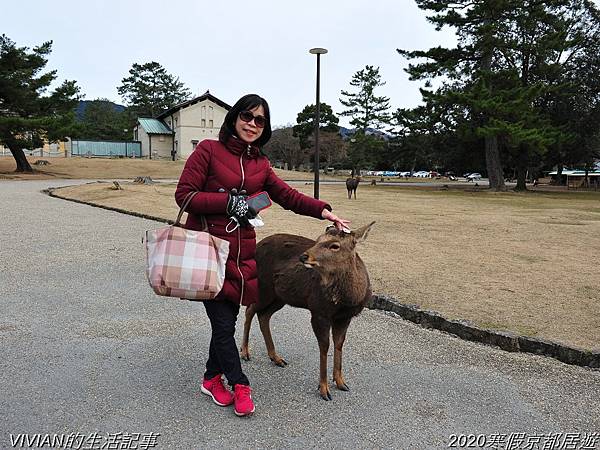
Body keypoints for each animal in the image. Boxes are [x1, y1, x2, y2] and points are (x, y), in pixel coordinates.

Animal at [240, 221, 376, 400]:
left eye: (335, 245)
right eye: (318, 239)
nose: (303, 256)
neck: (348, 299)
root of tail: (256, 246)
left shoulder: (345, 317)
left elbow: (339, 344)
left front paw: (341, 382)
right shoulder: (318, 311)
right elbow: (324, 347)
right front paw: (324, 389)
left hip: (280, 297)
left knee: (263, 316)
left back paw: (276, 357)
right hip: (263, 287)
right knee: (250, 310)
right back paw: (245, 352)